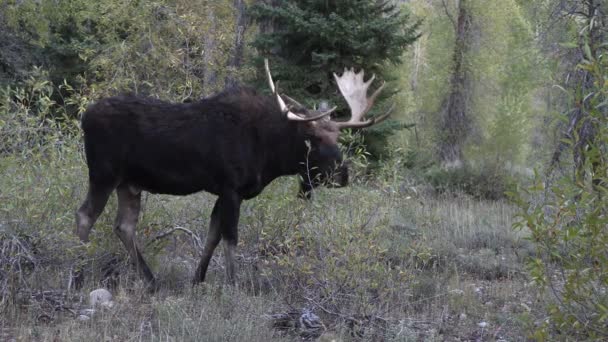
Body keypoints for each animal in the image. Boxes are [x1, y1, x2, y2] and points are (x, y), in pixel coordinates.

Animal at [73, 60, 392, 288]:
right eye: (311, 139)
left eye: (338, 138)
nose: (343, 174)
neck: (269, 154)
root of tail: (84, 117)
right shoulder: (231, 188)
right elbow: (230, 238)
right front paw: (233, 284)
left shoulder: (224, 191)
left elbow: (213, 234)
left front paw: (198, 280)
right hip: (103, 174)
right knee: (85, 215)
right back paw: (77, 276)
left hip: (129, 183)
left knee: (124, 226)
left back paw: (151, 281)